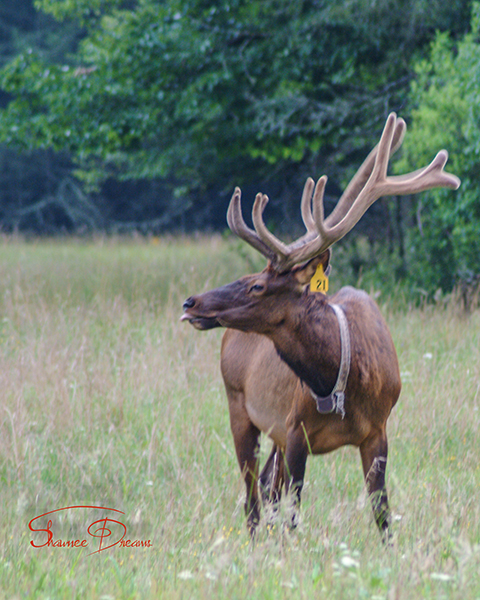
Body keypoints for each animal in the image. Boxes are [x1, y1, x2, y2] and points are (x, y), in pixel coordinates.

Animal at [181, 113, 462, 540]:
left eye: (256, 285)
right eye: (248, 277)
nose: (192, 302)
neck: (344, 379)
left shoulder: (377, 431)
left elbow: (381, 513)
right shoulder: (296, 430)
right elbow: (294, 512)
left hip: (270, 429)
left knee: (265, 486)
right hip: (238, 405)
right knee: (252, 495)